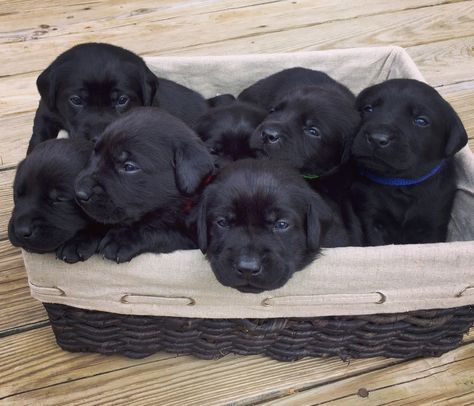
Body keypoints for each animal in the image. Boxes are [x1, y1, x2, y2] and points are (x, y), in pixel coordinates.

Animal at [75, 106, 214, 262]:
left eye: (129, 167)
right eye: (95, 153)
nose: (79, 193)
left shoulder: (193, 237)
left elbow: (159, 230)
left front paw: (121, 239)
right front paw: (81, 237)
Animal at [352, 79, 466, 244]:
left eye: (421, 121)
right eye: (368, 108)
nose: (377, 139)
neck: (401, 184)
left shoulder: (433, 223)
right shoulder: (371, 218)